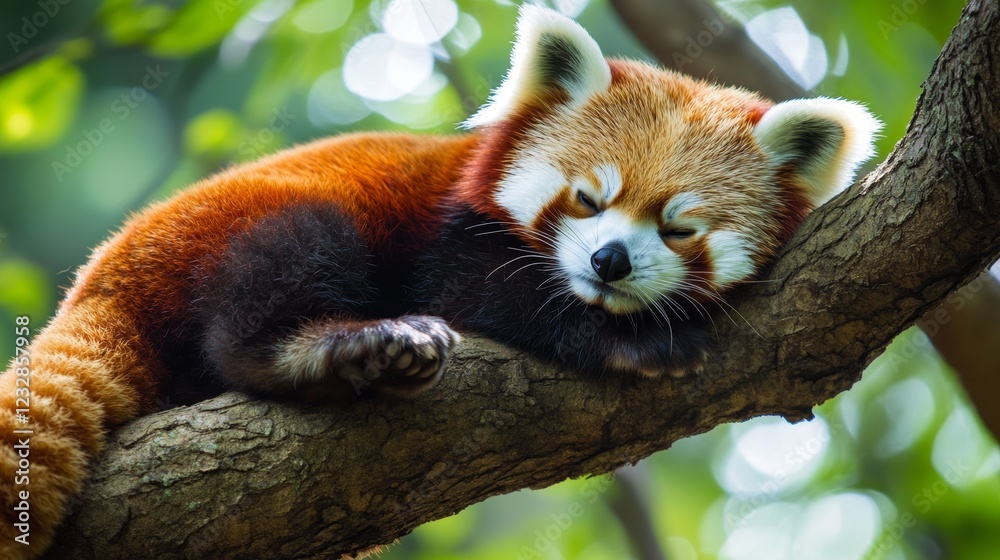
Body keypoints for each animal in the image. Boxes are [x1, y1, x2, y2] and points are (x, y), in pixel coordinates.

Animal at [0, 5, 880, 558]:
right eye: (587, 199)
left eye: (679, 228)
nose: (609, 263)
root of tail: (99, 281)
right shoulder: (444, 228)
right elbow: (483, 291)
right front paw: (631, 342)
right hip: (236, 229)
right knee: (276, 278)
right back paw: (331, 348)